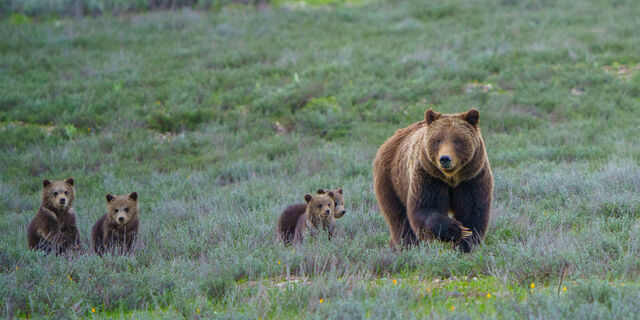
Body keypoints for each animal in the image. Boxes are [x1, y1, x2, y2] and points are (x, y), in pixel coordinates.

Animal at [372, 109, 492, 254]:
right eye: (438, 140)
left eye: (457, 140)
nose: (445, 159)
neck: (451, 178)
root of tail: (390, 140)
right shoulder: (429, 177)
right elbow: (425, 207)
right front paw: (456, 229)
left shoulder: (471, 178)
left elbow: (472, 210)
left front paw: (465, 243)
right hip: (391, 180)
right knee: (399, 218)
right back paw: (406, 246)